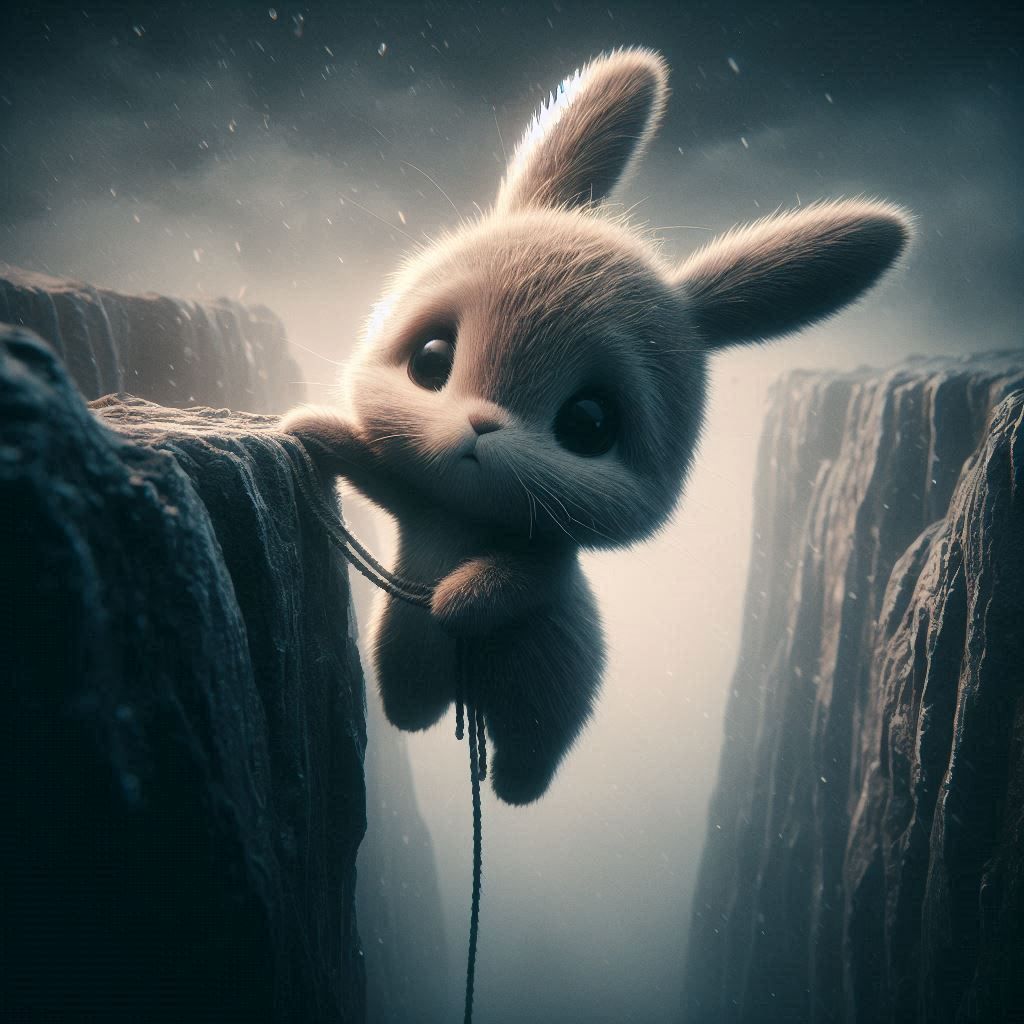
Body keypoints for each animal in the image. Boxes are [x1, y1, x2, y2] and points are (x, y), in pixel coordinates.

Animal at [281, 47, 911, 805]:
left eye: (588, 424)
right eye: (431, 361)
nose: (478, 429)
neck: (464, 520)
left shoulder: (545, 556)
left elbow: (513, 581)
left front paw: (458, 599)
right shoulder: (417, 500)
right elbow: (375, 467)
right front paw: (310, 428)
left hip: (550, 695)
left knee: (528, 754)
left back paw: (515, 779)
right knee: (411, 699)